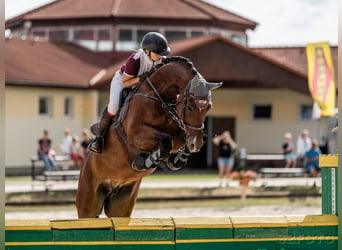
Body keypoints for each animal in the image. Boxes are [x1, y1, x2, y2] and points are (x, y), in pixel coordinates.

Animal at [76, 56, 222, 217]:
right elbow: (166, 140)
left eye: (209, 107)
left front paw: (177, 160)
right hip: (88, 202)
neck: (159, 97)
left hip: (121, 204)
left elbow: (176, 141)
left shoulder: (178, 131)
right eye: (190, 107)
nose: (196, 144)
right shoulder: (135, 134)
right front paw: (144, 161)